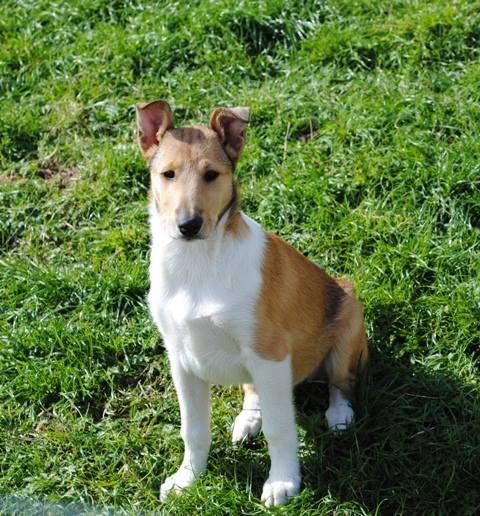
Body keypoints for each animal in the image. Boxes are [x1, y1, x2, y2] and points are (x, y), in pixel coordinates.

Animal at [135, 99, 368, 506]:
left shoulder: (269, 352)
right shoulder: (181, 358)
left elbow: (280, 427)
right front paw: (186, 479)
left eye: (211, 175)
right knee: (254, 391)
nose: (188, 225)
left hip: (348, 320)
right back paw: (248, 419)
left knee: (342, 382)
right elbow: (192, 428)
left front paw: (282, 483)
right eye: (168, 174)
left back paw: (339, 415)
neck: (198, 264)